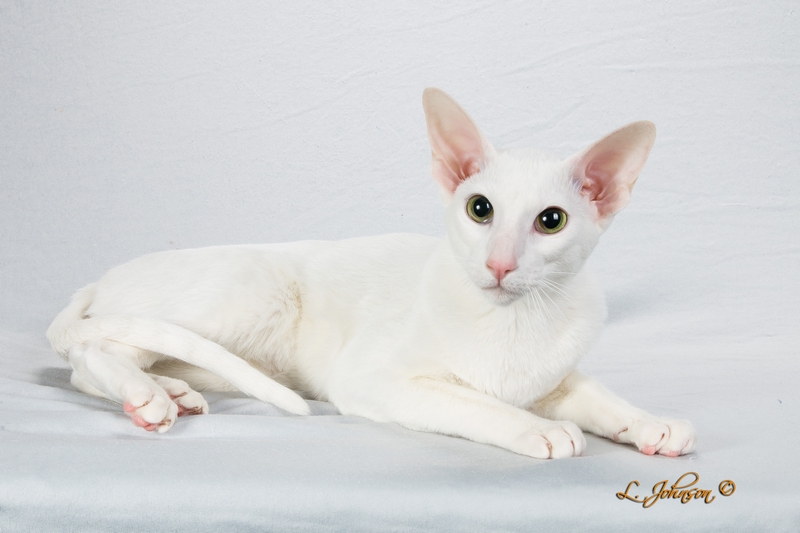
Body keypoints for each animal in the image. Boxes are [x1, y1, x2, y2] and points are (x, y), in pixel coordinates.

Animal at [47, 87, 692, 458]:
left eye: (551, 221)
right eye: (479, 209)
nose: (500, 264)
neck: (511, 325)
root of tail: (101, 277)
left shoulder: (558, 378)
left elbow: (598, 394)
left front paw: (650, 425)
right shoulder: (372, 378)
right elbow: (476, 402)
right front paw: (536, 428)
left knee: (100, 362)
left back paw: (171, 392)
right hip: (253, 293)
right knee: (95, 348)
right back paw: (146, 398)